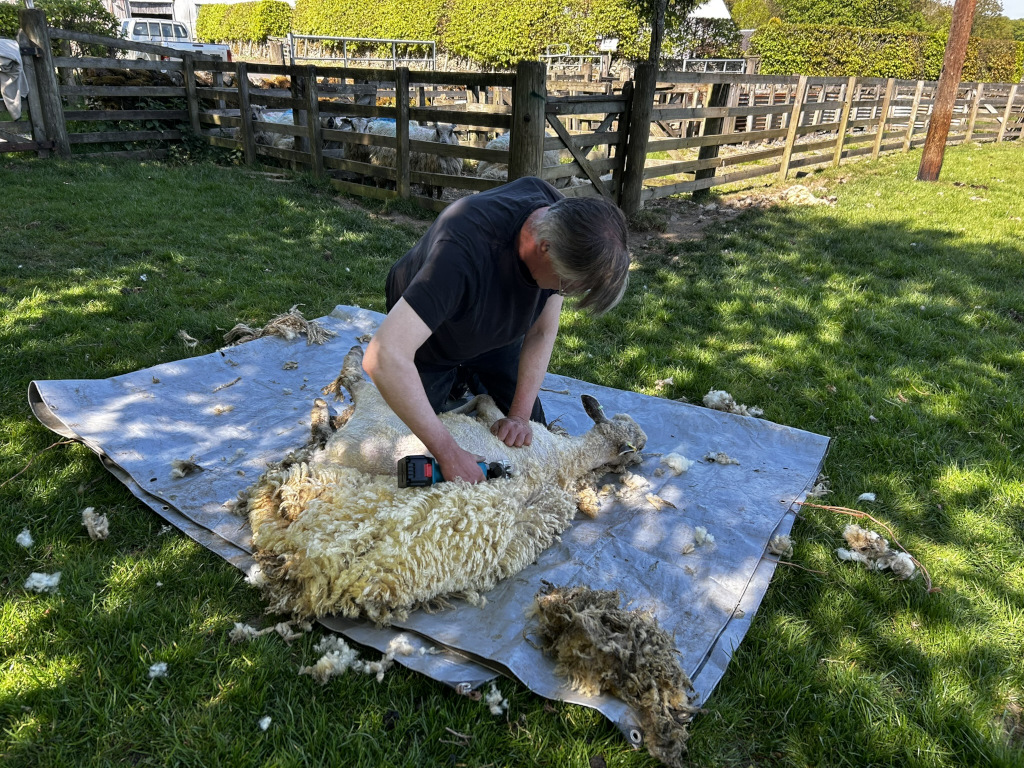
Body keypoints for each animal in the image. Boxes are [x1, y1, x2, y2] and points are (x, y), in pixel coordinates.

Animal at [238, 345, 647, 624]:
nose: (643, 450)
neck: (566, 458)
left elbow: (484, 399)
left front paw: (464, 407)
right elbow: (486, 401)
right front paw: (463, 408)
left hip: (369, 418)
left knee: (354, 388)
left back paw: (330, 395)